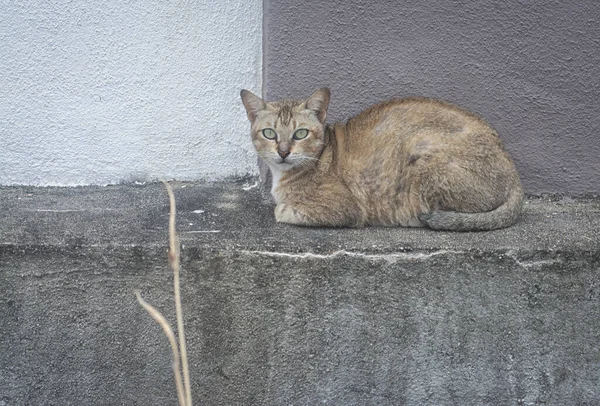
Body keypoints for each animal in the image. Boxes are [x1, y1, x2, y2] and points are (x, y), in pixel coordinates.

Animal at [241, 87, 524, 230]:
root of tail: (514, 174)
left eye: (300, 133)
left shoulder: (346, 208)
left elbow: (283, 210)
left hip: (420, 147)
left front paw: (282, 208)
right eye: (269, 133)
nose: (283, 151)